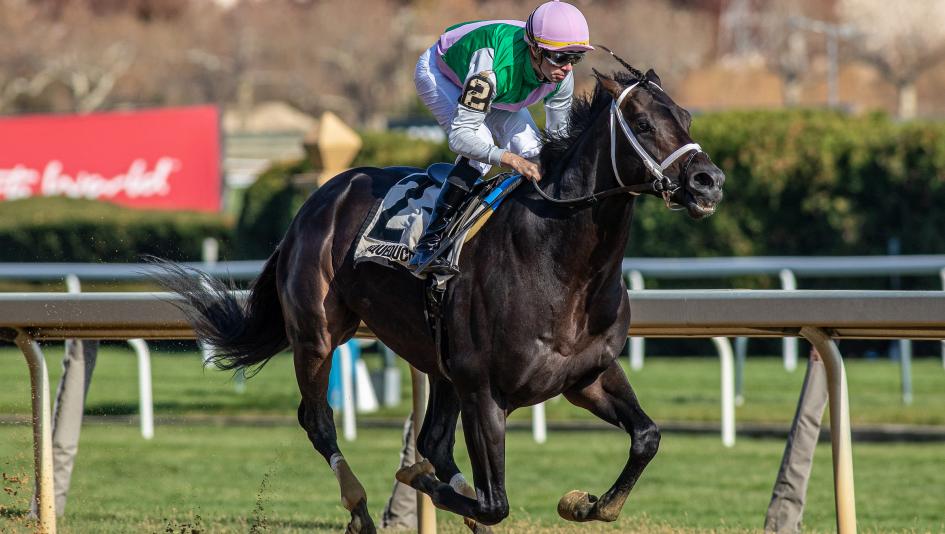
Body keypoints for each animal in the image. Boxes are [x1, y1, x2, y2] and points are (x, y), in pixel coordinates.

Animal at [157, 58, 724, 533]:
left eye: (686, 117)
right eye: (644, 124)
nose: (709, 181)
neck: (561, 263)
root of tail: (316, 201)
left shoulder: (586, 376)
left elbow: (647, 437)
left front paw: (586, 504)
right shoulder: (484, 391)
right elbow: (494, 501)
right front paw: (419, 480)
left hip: (438, 359)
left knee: (433, 440)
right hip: (318, 334)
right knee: (318, 421)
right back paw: (360, 506)